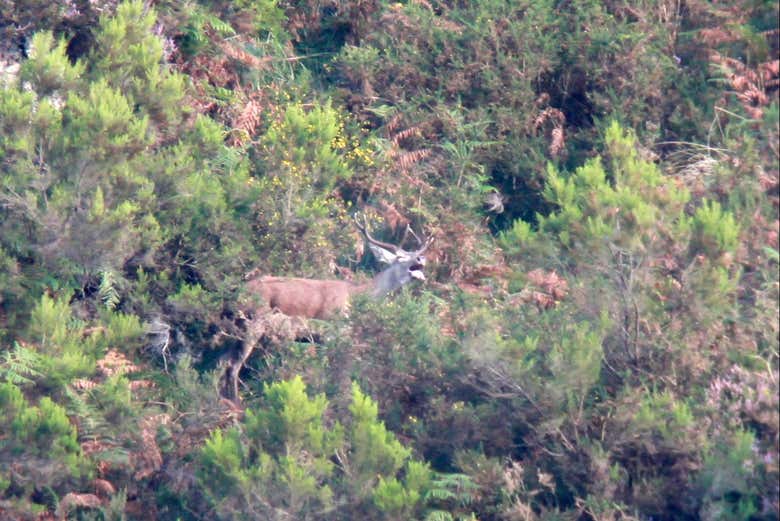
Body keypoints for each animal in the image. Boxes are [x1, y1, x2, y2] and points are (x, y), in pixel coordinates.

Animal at [222, 214, 433, 401]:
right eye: (399, 257)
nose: (422, 259)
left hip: (237, 327)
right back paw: (236, 405)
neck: (355, 296)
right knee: (233, 365)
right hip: (254, 322)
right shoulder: (332, 330)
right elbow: (333, 373)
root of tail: (235, 294)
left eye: (415, 254)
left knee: (223, 361)